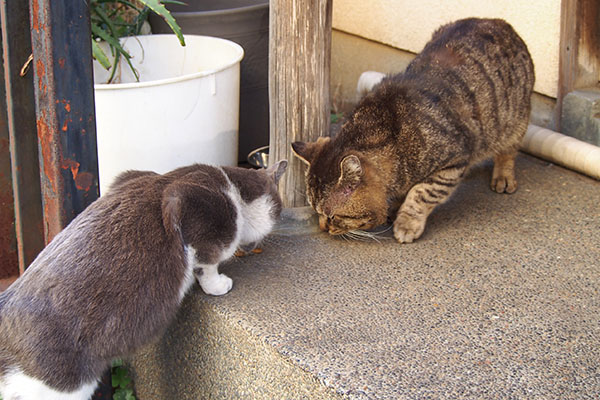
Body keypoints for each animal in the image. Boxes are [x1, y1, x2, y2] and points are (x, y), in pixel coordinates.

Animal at [292, 18, 532, 244]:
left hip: (514, 121)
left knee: (508, 152)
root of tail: (499, 22)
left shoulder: (453, 161)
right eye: (314, 211)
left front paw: (406, 223)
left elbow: (421, 193)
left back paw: (503, 177)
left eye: (332, 216)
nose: (323, 228)